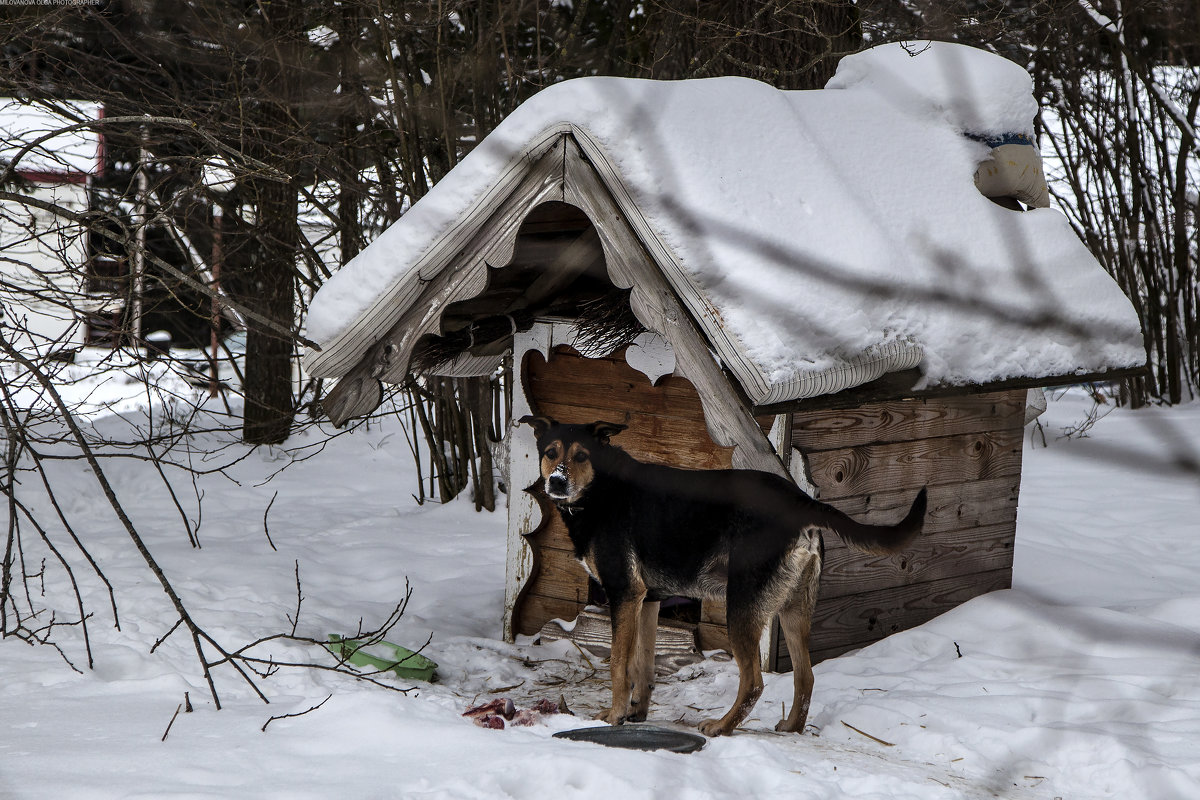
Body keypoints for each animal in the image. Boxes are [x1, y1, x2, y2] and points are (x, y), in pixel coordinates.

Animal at [518, 419, 926, 738]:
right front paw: (636, 713)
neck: (602, 488)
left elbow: (619, 664)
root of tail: (801, 502)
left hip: (741, 606)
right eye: (550, 452)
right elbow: (643, 667)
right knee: (805, 676)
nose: (556, 482)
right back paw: (791, 727)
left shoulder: (624, 594)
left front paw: (614, 716)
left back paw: (722, 727)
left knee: (754, 682)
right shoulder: (647, 601)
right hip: (794, 608)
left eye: (581, 456)